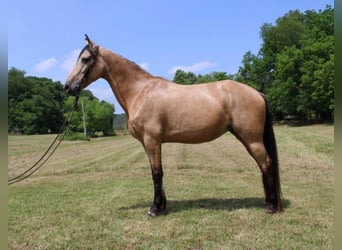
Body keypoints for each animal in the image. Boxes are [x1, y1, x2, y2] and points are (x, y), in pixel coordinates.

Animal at [62, 34, 282, 216]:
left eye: (84, 59)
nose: (67, 87)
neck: (140, 92)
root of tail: (257, 93)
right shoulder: (148, 143)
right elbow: (156, 171)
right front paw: (162, 206)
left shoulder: (152, 140)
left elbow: (156, 174)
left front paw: (154, 209)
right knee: (263, 166)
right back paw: (268, 202)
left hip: (252, 139)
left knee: (267, 164)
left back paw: (271, 206)